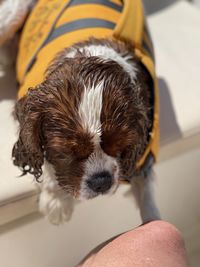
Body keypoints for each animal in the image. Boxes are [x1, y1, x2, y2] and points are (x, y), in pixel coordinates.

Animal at [1, 0, 161, 225]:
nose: (101, 181)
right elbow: (37, 149)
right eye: (66, 152)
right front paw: (56, 200)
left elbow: (148, 199)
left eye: (121, 146)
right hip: (13, 13)